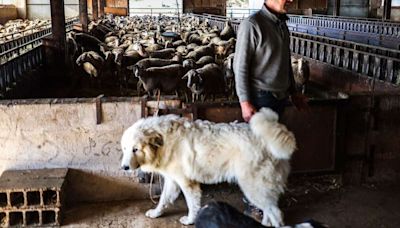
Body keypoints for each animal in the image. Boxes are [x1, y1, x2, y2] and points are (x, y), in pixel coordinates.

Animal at [121, 108, 296, 226]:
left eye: (135, 149)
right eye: (125, 148)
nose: (124, 167)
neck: (164, 141)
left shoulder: (187, 183)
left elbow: (192, 205)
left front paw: (190, 220)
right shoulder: (172, 181)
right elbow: (164, 200)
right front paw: (156, 213)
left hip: (254, 187)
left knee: (276, 213)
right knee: (270, 210)